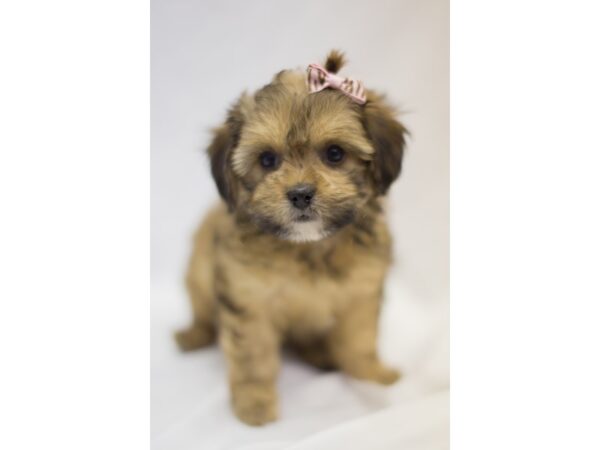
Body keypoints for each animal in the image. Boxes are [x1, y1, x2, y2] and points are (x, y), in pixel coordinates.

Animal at [173, 51, 408, 426]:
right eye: (268, 159)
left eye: (335, 154)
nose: (300, 194)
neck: (308, 247)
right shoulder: (247, 298)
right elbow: (252, 354)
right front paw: (255, 401)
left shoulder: (362, 292)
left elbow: (360, 339)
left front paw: (372, 375)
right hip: (198, 274)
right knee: (202, 312)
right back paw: (192, 334)